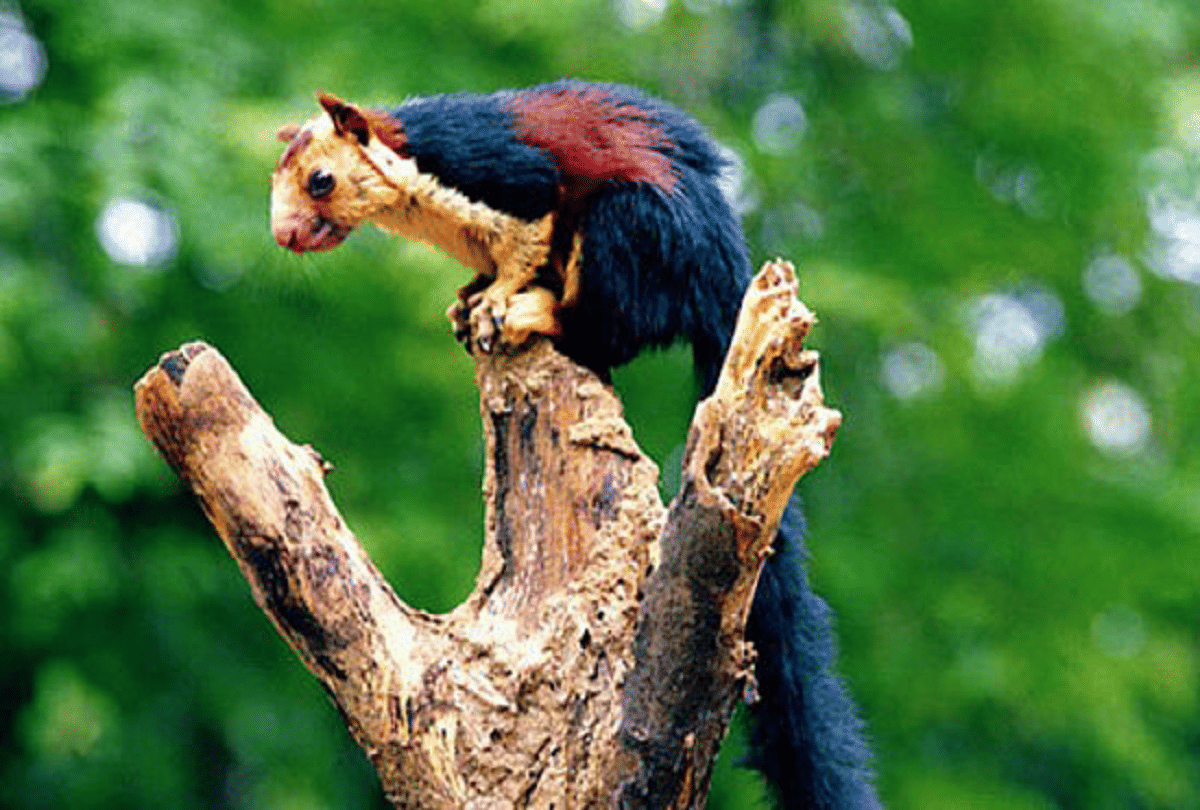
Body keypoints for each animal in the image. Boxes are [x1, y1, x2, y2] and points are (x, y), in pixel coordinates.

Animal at [270, 80, 880, 809]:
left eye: (322, 180)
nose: (284, 235)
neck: (417, 201)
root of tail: (721, 268)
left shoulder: (504, 177)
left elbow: (525, 239)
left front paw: (498, 298)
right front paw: (467, 296)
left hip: (629, 227)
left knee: (604, 327)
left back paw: (533, 313)